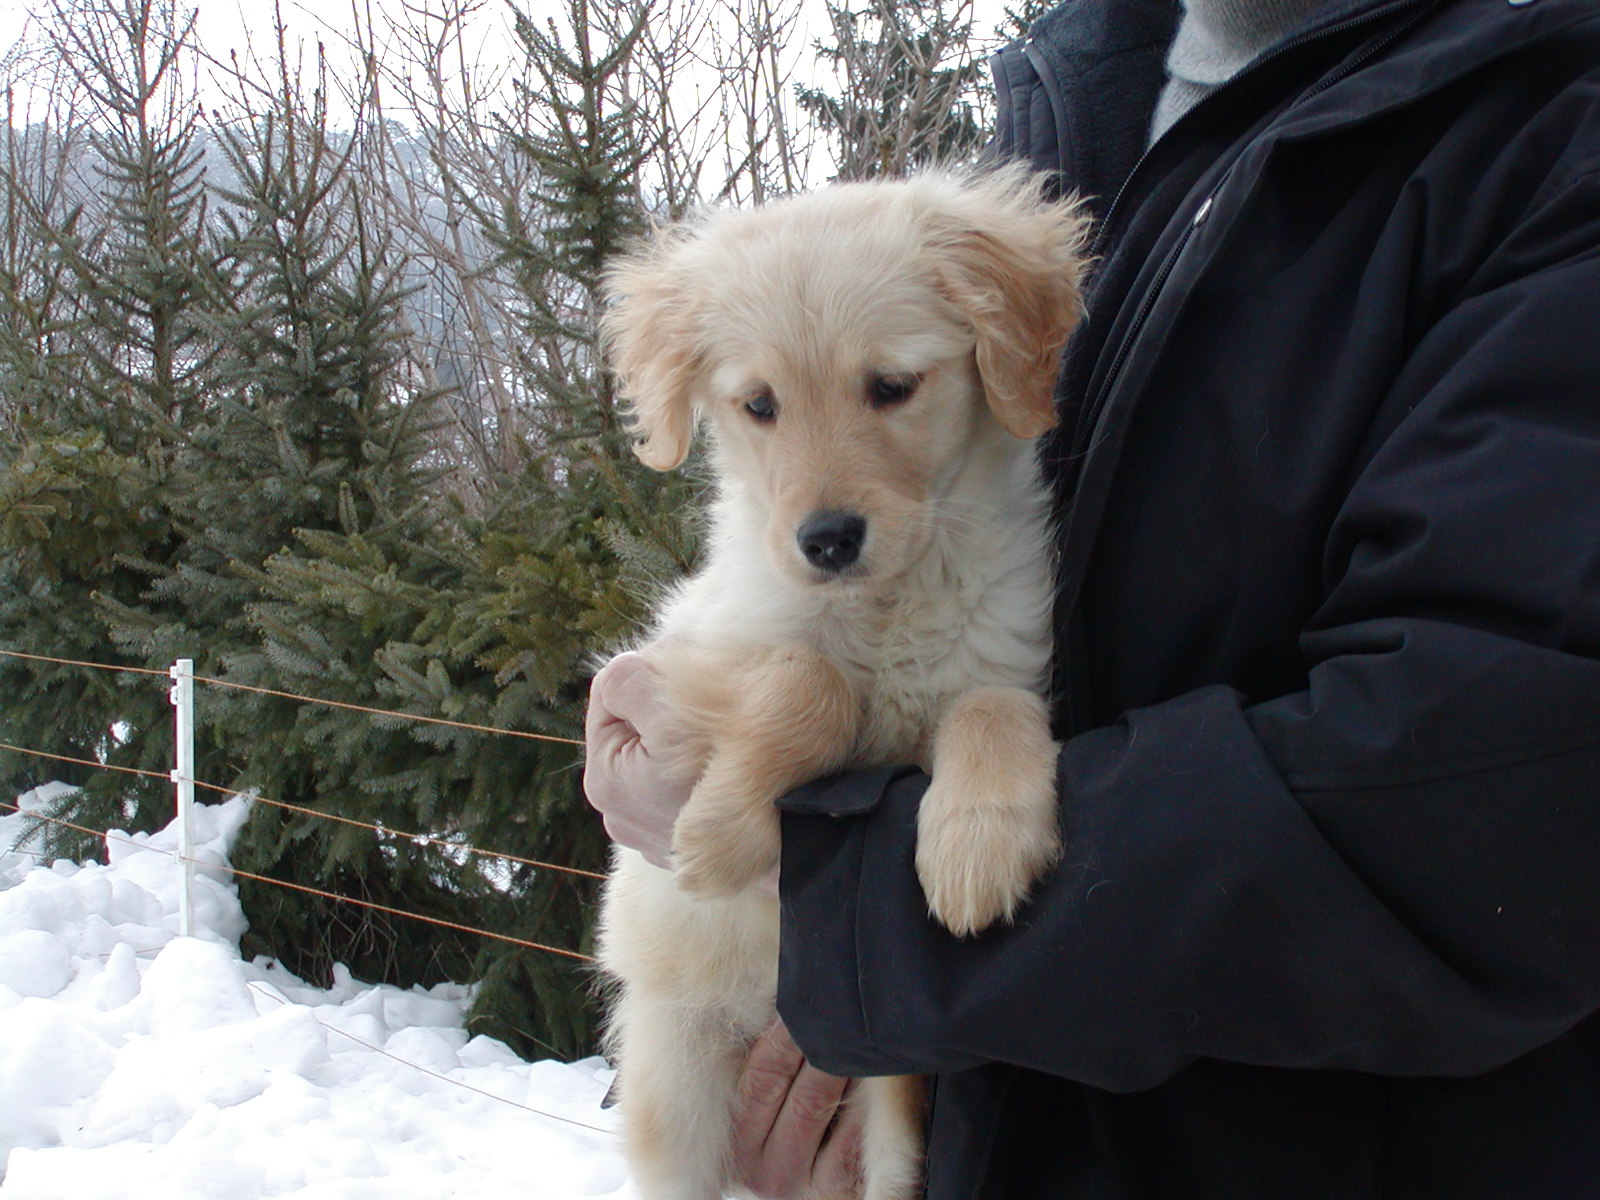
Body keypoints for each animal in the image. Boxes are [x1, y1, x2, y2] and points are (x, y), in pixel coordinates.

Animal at [595, 169, 1094, 1200]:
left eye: (892, 387)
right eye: (759, 405)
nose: (826, 539)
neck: (885, 604)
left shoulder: (1002, 645)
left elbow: (990, 705)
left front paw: (977, 843)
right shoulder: (682, 656)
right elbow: (811, 683)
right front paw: (720, 832)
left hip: (890, 1122)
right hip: (675, 1086)